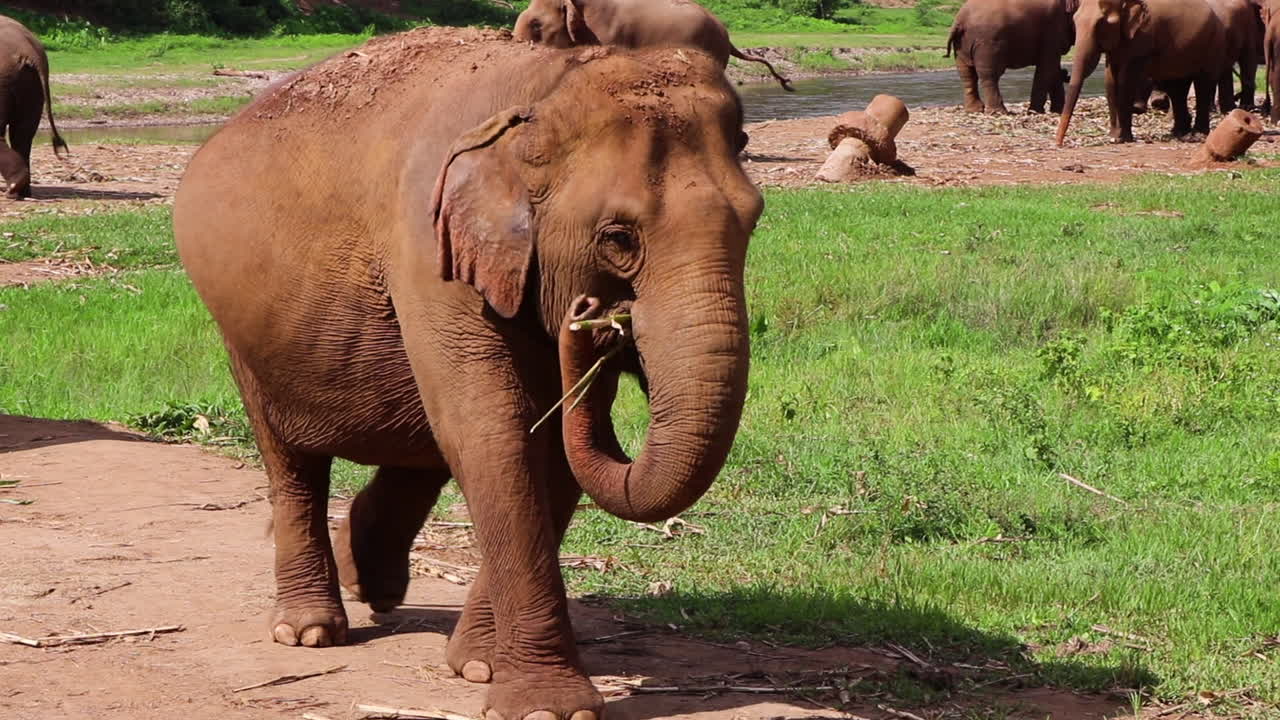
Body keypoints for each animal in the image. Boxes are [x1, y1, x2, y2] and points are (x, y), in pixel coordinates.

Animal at [174, 27, 760, 720]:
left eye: (753, 219)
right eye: (617, 238)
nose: (593, 318)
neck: (543, 87)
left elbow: (546, 451)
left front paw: (480, 666)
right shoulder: (430, 250)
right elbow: (496, 435)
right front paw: (547, 706)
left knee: (419, 442)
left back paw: (368, 576)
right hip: (242, 330)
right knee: (291, 459)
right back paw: (309, 628)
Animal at [946, 0, 1080, 114]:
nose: (1066, 73)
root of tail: (960, 20)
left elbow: (1052, 68)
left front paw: (1057, 112)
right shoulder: (1053, 27)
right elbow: (1047, 67)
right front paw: (1036, 112)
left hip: (962, 45)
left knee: (967, 74)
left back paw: (974, 111)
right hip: (988, 42)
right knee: (989, 75)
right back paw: (998, 112)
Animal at [1057, 0, 1230, 145]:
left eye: (1102, 24)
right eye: (1075, 21)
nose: (1058, 143)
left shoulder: (1142, 38)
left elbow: (1125, 81)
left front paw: (1122, 138)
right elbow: (1110, 82)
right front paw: (1114, 137)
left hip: (1214, 44)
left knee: (1203, 83)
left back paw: (1197, 135)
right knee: (1177, 87)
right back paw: (1178, 133)